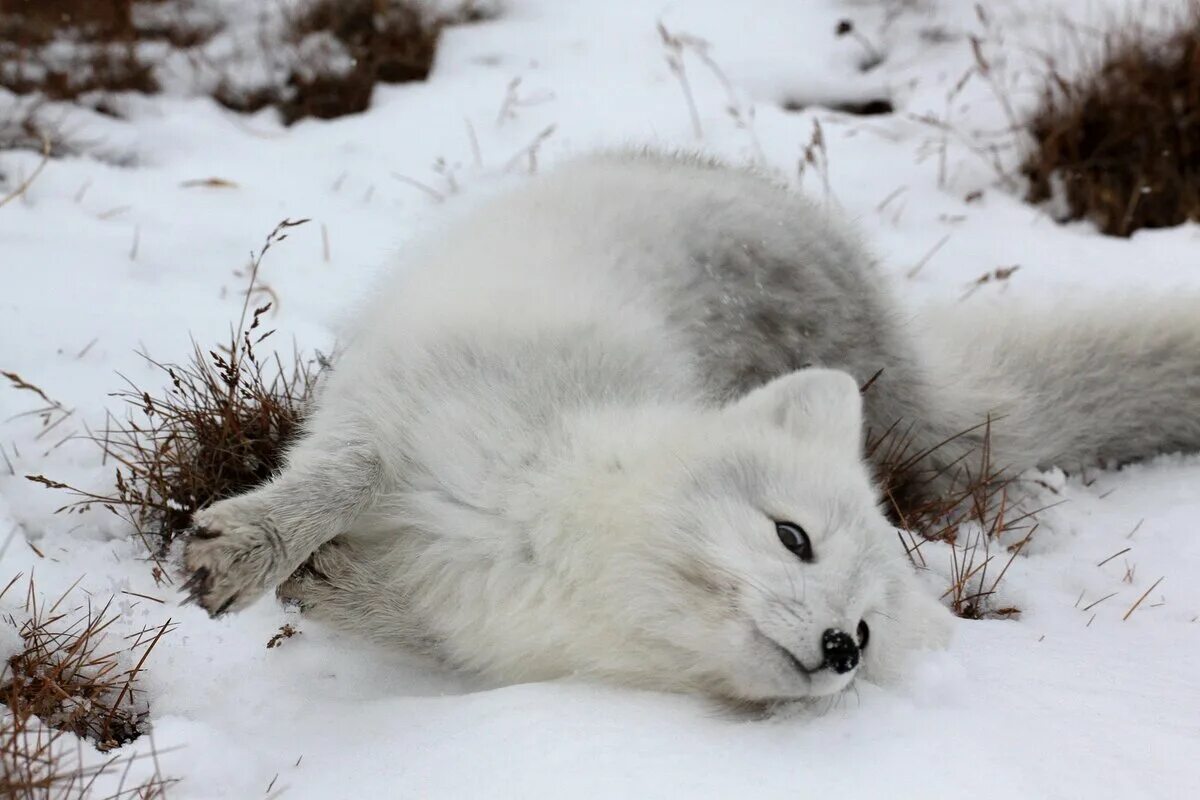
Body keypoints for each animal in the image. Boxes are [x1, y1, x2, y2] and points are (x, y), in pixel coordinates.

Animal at [180, 153, 1200, 705]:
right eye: (792, 536)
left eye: (870, 632)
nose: (840, 647)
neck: (539, 532)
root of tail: (881, 327)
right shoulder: (400, 408)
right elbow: (336, 477)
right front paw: (252, 547)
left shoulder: (487, 620)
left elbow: (420, 625)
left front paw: (337, 588)